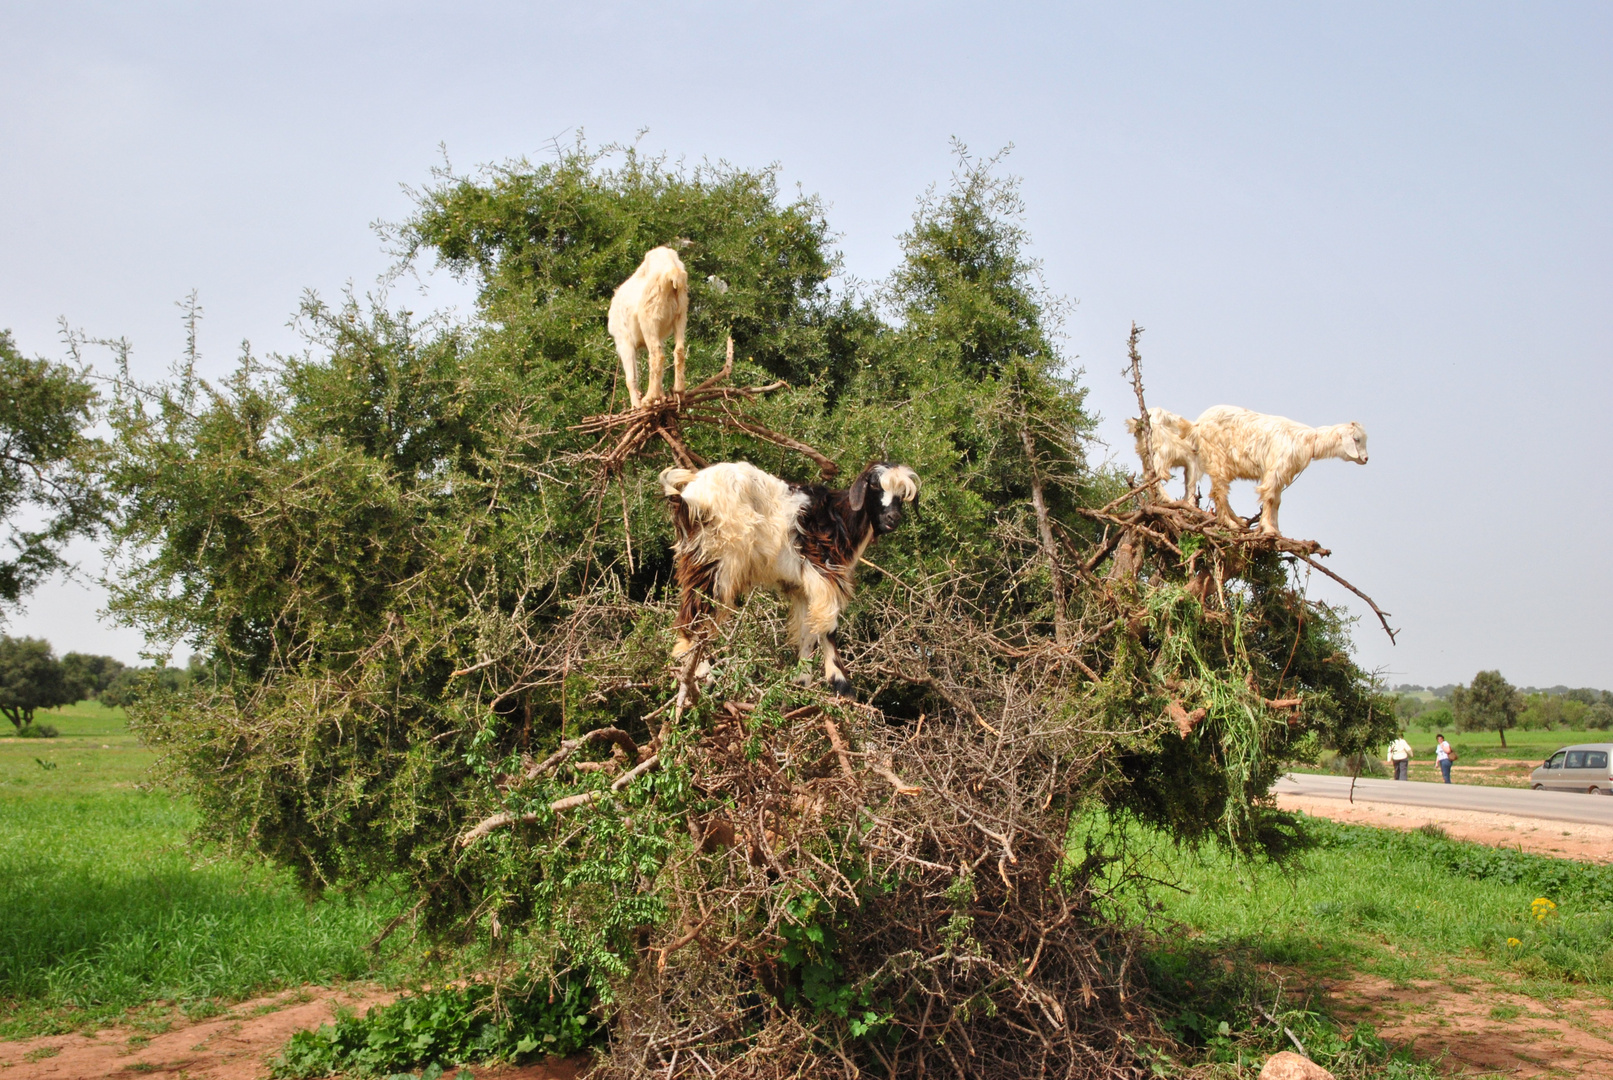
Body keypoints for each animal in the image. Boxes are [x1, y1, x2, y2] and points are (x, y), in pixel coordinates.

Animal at [603, 248, 683, 407]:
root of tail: (672, 271)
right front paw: (661, 398)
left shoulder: (624, 341)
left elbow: (630, 378)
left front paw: (636, 405)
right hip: (681, 313)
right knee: (679, 350)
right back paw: (679, 393)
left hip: (649, 318)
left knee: (657, 355)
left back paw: (648, 399)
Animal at [658, 461, 922, 699]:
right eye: (875, 485)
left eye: (903, 495)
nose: (893, 517)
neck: (841, 519)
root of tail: (688, 498)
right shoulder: (823, 573)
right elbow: (829, 626)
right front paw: (842, 685)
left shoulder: (802, 589)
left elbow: (809, 632)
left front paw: (801, 681)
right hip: (716, 561)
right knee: (694, 618)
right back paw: (705, 676)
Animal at [1193, 406, 1367, 538]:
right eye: (1356, 439)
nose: (1366, 458)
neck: (1308, 441)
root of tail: (1198, 422)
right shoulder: (1275, 469)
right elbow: (1269, 498)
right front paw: (1269, 530)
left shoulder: (1282, 474)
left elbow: (1277, 502)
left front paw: (1277, 531)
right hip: (1217, 458)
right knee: (1219, 492)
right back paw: (1231, 523)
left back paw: (1238, 521)